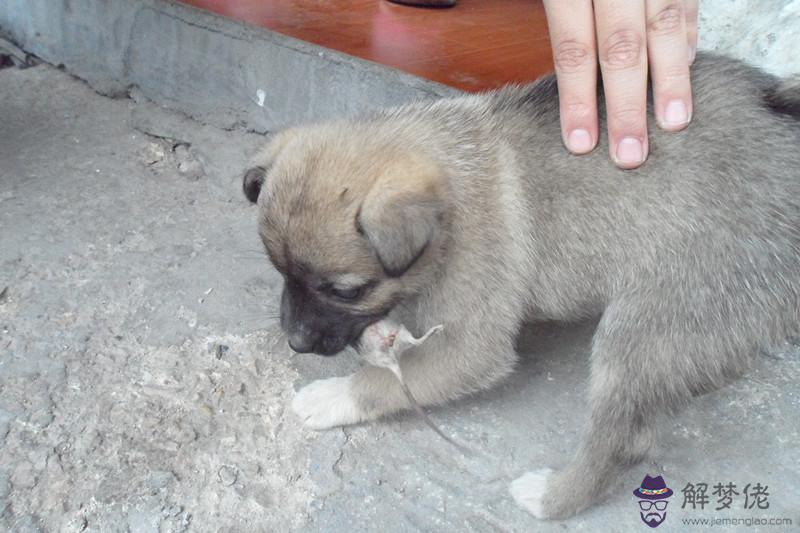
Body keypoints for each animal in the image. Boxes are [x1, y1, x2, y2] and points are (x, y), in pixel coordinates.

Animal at [242, 55, 800, 520]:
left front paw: (333, 395)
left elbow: (390, 380)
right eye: (281, 272)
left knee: (625, 439)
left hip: (648, 323)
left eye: (346, 290)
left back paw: (551, 497)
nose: (295, 342)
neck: (452, 200)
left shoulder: (473, 345)